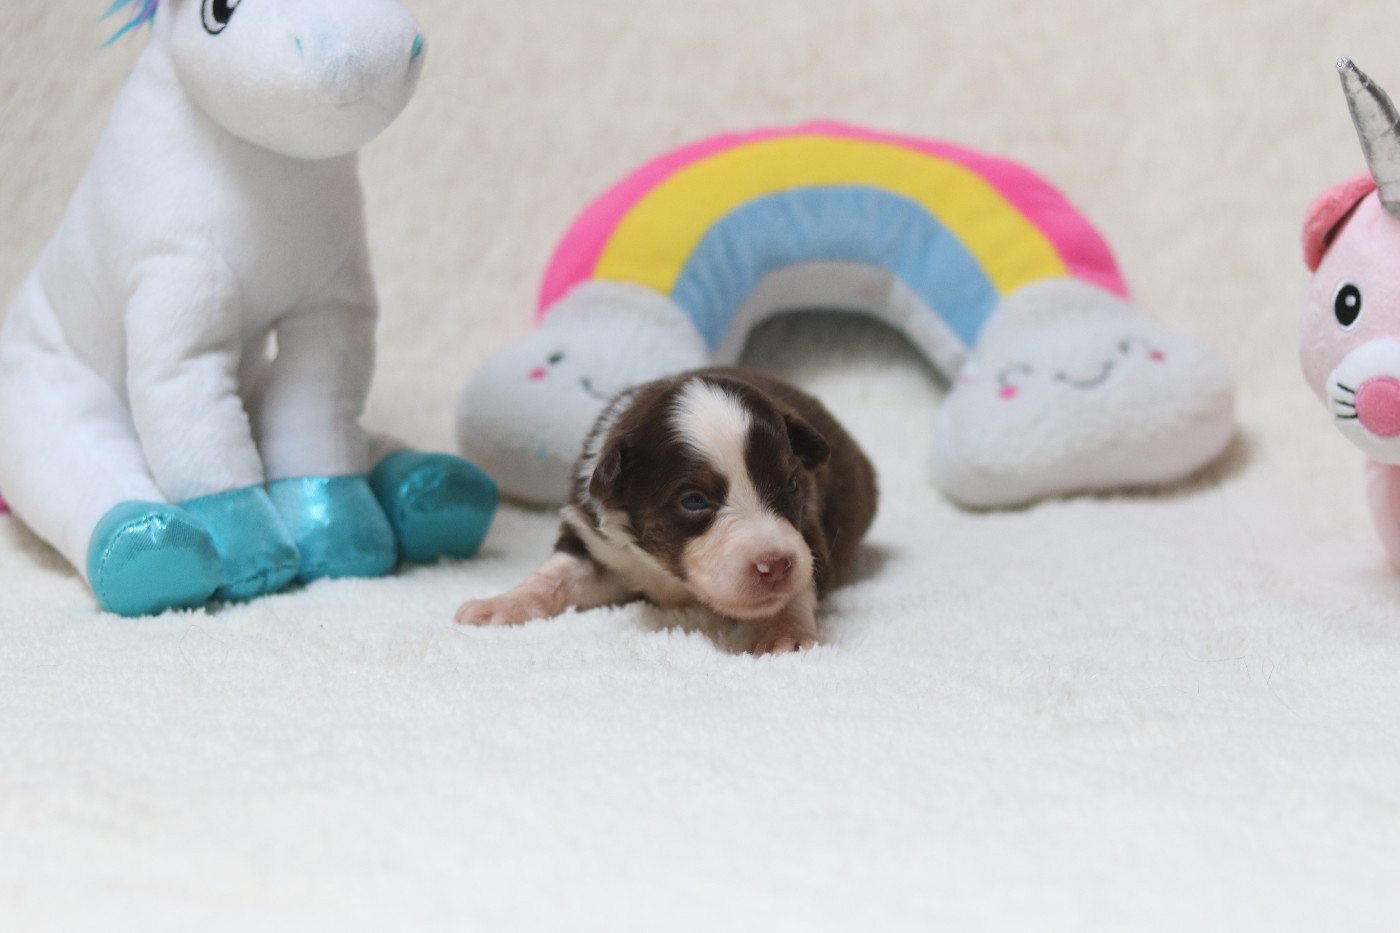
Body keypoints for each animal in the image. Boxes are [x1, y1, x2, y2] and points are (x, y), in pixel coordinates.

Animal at [453, 367, 878, 654]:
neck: (668, 569)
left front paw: (786, 636)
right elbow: (554, 576)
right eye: (694, 501)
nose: (775, 565)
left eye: (791, 484)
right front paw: (499, 605)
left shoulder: (810, 537)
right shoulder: (600, 545)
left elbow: (795, 591)